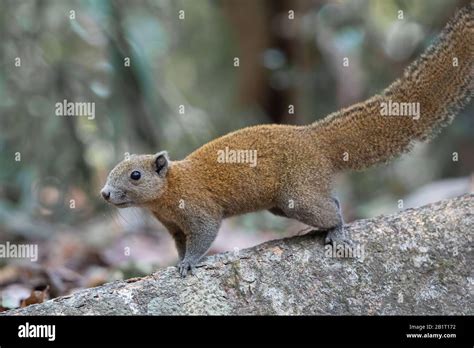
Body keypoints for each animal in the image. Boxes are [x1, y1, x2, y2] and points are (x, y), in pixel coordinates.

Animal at [100, 4, 470, 278]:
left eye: (135, 175)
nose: (104, 193)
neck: (168, 191)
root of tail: (312, 137)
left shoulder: (197, 207)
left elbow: (205, 233)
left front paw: (189, 263)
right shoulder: (174, 227)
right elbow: (180, 244)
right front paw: (179, 261)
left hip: (299, 194)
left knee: (332, 207)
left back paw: (336, 231)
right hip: (281, 203)